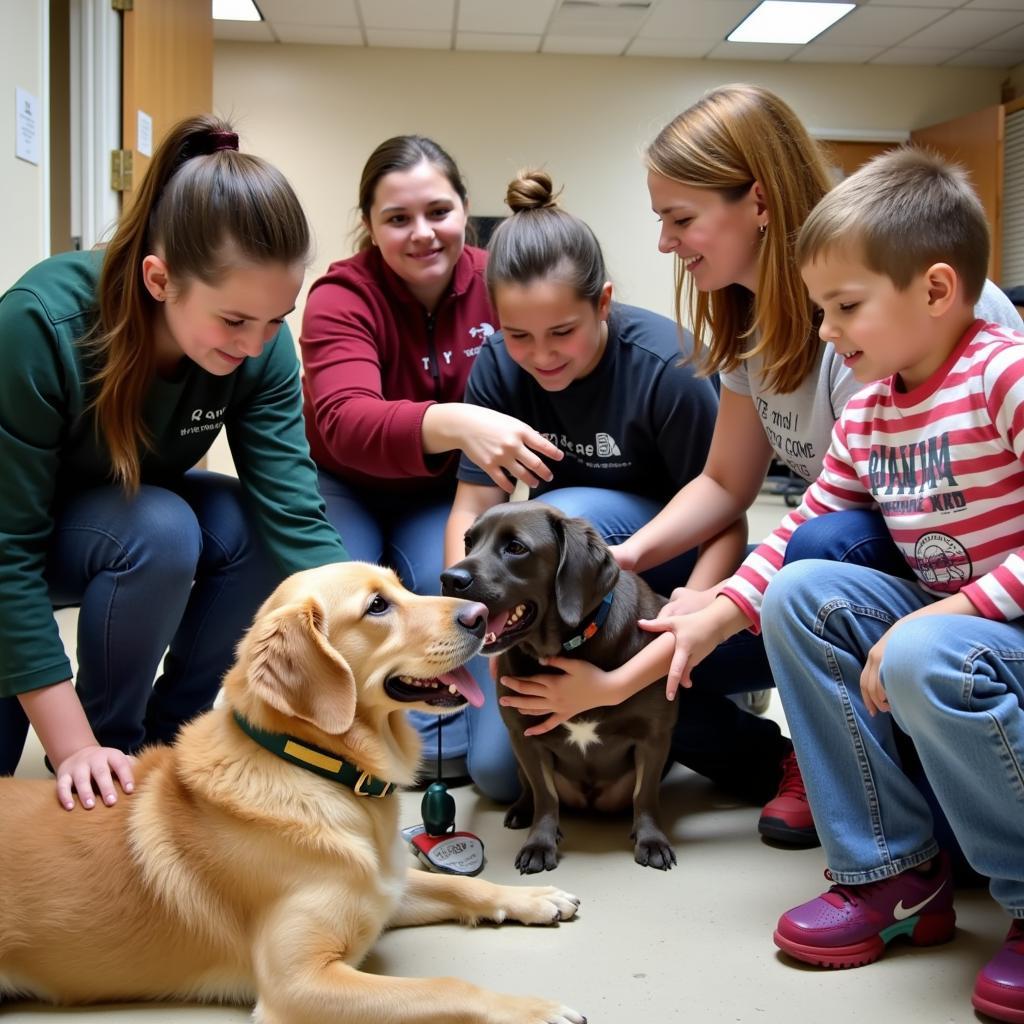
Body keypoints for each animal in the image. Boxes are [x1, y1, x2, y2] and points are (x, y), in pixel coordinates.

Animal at [0, 565, 585, 1019]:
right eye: (377, 606)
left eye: (401, 586)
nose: (480, 615)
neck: (318, 771)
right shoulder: (299, 983)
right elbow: (446, 987)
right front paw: (533, 1009)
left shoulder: (384, 887)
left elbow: (460, 886)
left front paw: (532, 899)